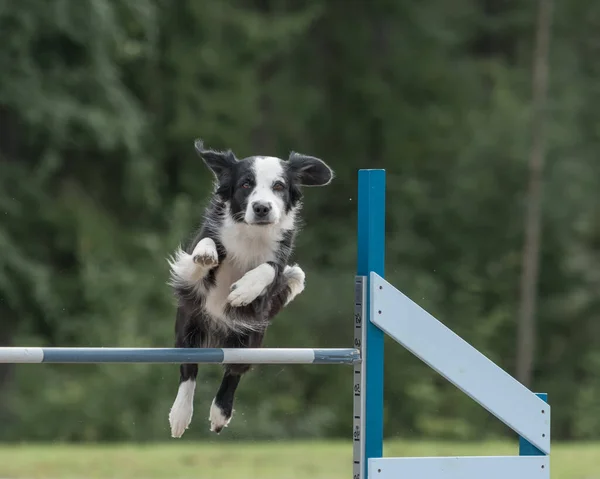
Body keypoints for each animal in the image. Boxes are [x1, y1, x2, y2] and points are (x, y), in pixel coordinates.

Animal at [166, 139, 332, 438]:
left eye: (278, 185)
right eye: (245, 184)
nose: (262, 208)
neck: (251, 232)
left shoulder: (276, 268)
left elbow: (270, 269)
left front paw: (243, 290)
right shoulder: (197, 266)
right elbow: (203, 250)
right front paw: (206, 256)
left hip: (250, 341)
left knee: (233, 372)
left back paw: (220, 414)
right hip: (187, 329)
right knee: (189, 369)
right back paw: (181, 414)